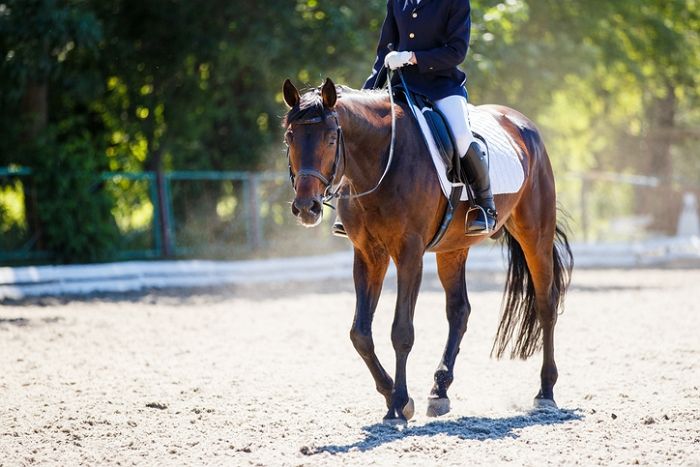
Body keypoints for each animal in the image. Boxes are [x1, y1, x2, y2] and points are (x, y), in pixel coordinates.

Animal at [282, 77, 572, 428]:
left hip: (535, 234)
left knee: (546, 304)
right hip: (453, 247)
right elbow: (360, 333)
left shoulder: (409, 253)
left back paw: (545, 392)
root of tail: (522, 124)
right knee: (459, 311)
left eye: (330, 137)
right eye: (289, 136)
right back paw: (439, 391)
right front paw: (394, 397)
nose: (306, 207)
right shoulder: (367, 254)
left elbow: (401, 331)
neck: (381, 159)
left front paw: (398, 405)